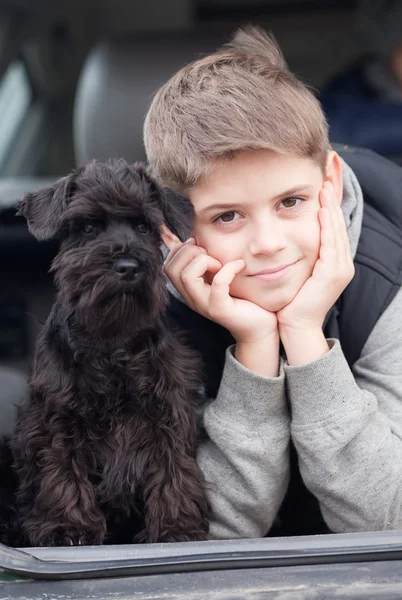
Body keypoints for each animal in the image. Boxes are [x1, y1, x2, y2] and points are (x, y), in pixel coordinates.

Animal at [7, 159, 210, 548]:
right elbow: (63, 470)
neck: (112, 339)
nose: (128, 266)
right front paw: (67, 528)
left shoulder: (168, 412)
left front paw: (176, 529)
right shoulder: (59, 418)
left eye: (144, 226)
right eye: (88, 227)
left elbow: (172, 470)